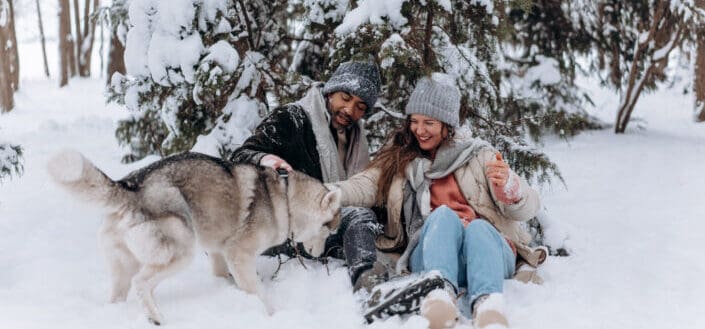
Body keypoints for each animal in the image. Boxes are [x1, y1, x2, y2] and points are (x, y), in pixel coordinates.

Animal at [48, 150, 340, 324]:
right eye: (330, 231)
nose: (320, 255)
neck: (286, 198)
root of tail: (130, 186)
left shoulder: (220, 253)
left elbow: (224, 277)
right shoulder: (239, 255)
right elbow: (257, 292)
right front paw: (271, 315)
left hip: (124, 266)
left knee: (121, 293)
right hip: (182, 252)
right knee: (141, 283)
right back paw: (157, 318)